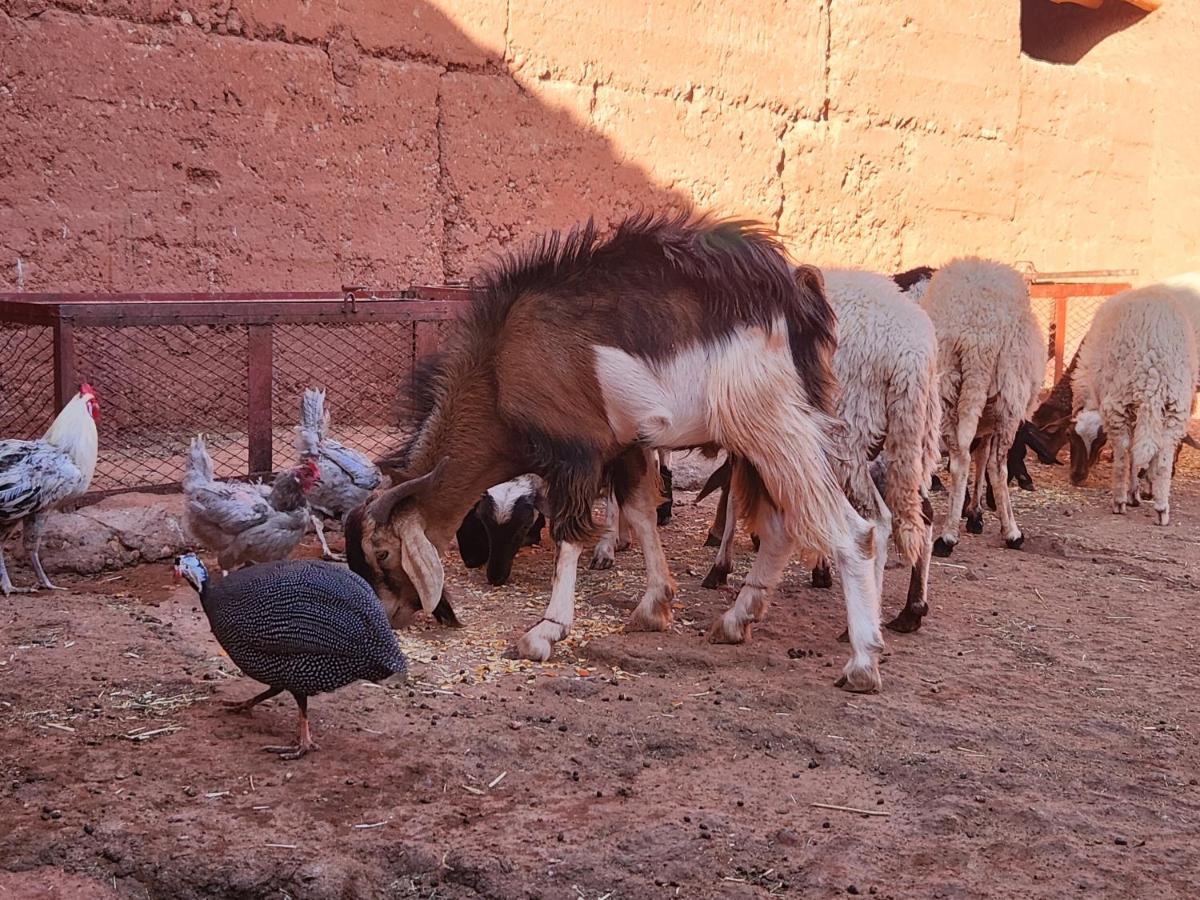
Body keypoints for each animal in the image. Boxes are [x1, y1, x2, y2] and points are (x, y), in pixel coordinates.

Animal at [343, 214, 888, 696]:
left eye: (382, 552)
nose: (391, 615)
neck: (500, 368)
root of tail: (797, 295)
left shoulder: (576, 452)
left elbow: (568, 535)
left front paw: (545, 632)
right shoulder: (626, 447)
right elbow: (641, 513)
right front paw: (653, 607)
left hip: (774, 428)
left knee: (854, 531)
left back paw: (862, 662)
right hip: (760, 445)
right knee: (780, 529)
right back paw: (736, 621)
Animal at [921, 256, 1046, 556]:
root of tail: (978, 336)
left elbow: (977, 455)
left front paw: (971, 512)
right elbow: (985, 460)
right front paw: (976, 513)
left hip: (947, 386)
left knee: (960, 459)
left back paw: (947, 535)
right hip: (1009, 396)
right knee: (996, 466)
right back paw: (1011, 533)